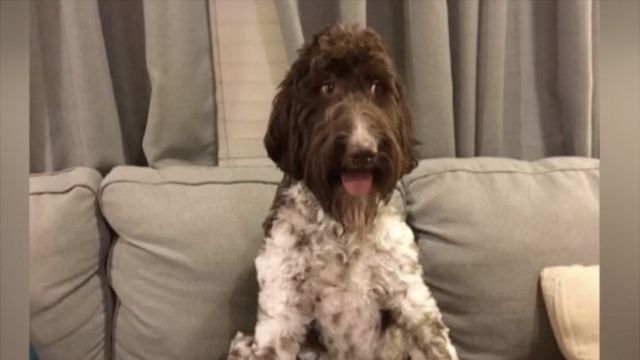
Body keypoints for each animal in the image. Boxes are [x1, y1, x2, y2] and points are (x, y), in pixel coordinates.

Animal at [228, 23, 458, 360]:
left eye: (377, 88)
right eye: (326, 87)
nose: (363, 152)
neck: (342, 223)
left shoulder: (411, 298)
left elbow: (436, 342)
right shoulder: (282, 304)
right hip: (244, 342)